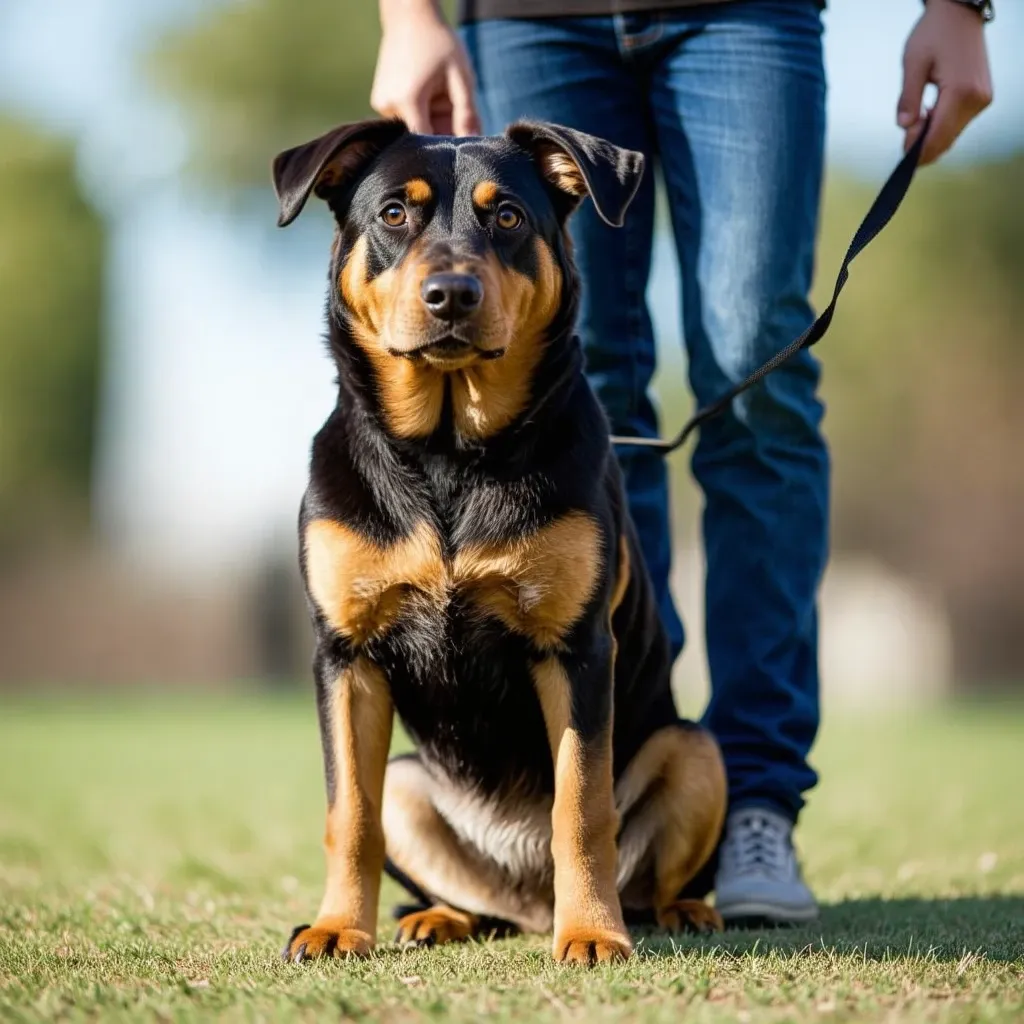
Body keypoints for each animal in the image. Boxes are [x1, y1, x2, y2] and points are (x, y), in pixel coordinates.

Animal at [268, 116, 724, 962]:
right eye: (393, 214)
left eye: (507, 215)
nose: (452, 294)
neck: (449, 451)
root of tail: (529, 898)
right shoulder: (344, 655)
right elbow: (349, 815)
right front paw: (339, 928)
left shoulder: (577, 649)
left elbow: (583, 807)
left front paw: (594, 934)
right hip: (412, 781)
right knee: (460, 884)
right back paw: (440, 918)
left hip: (695, 750)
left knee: (655, 876)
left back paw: (673, 911)